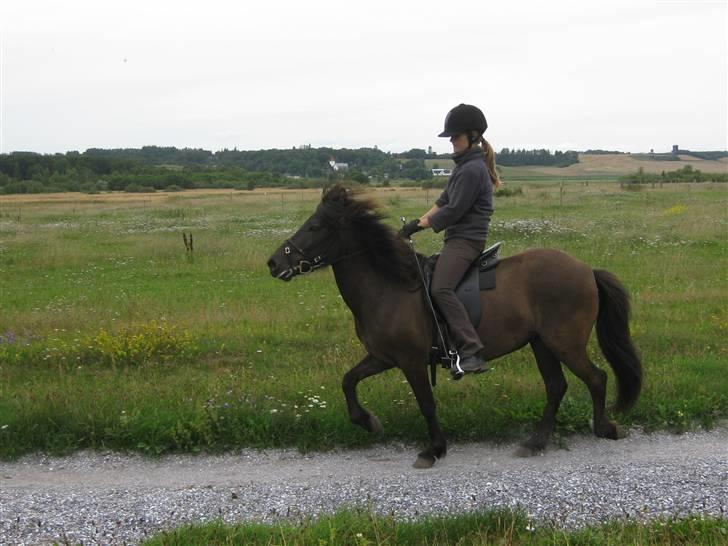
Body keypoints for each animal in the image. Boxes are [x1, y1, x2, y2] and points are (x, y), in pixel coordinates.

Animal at [268, 185, 644, 466]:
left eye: (315, 226)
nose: (273, 263)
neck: (389, 286)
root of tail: (586, 270)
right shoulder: (383, 357)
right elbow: (348, 381)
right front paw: (367, 421)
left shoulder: (411, 361)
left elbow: (426, 404)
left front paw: (434, 449)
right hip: (542, 344)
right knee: (557, 387)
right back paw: (536, 442)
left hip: (564, 342)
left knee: (596, 378)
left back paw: (603, 427)